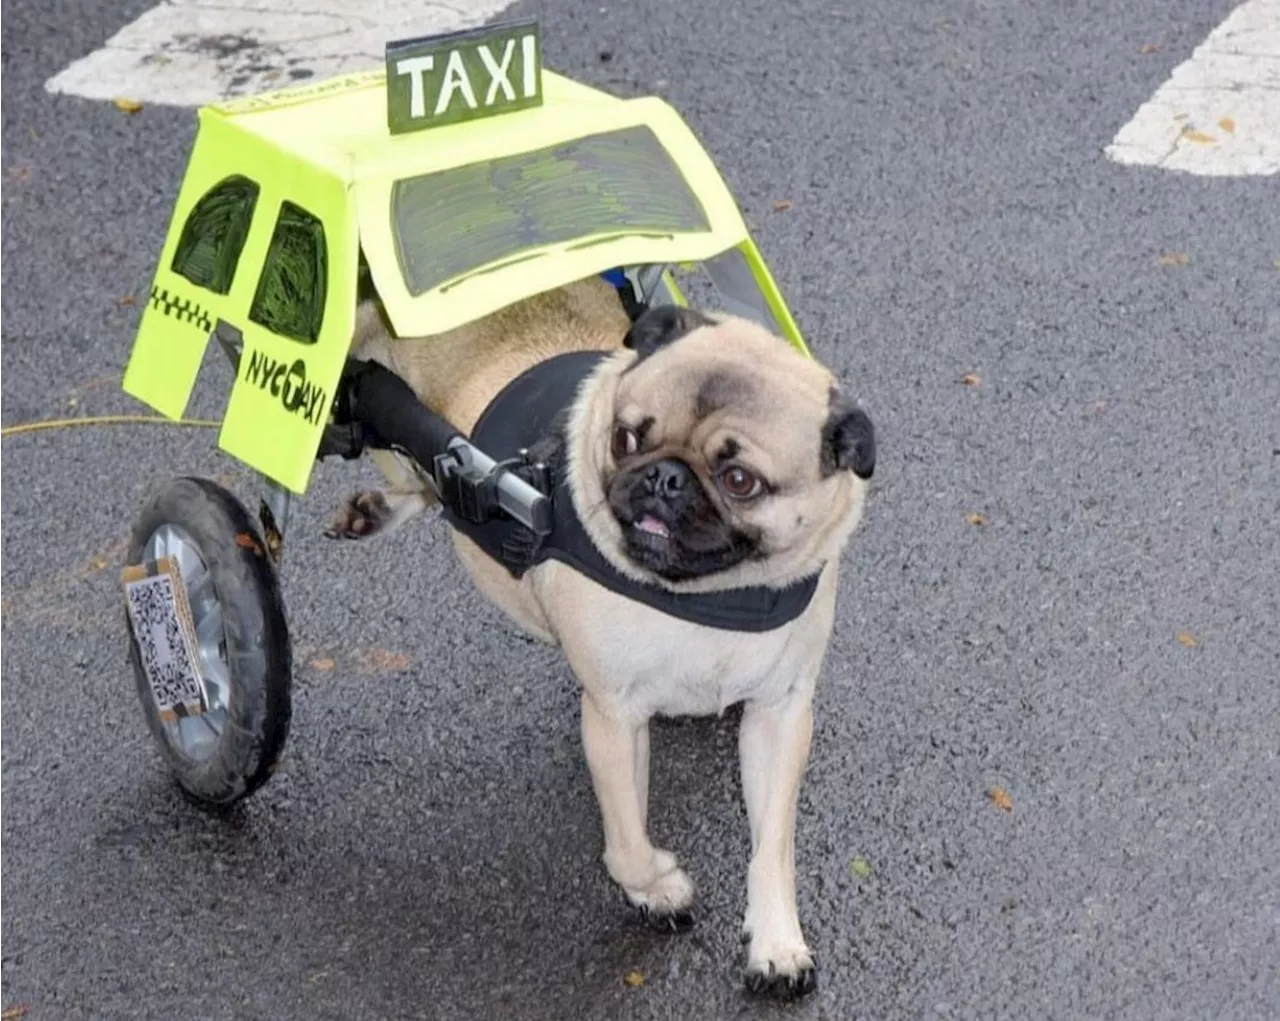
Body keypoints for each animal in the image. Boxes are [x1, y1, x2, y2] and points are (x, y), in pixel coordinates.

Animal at [330, 273, 875, 997]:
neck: (704, 595)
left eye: (740, 481)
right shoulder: (615, 717)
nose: (665, 477)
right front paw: (660, 888)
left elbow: (771, 845)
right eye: (627, 438)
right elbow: (626, 844)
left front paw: (777, 940)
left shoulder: (779, 713)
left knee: (425, 478)